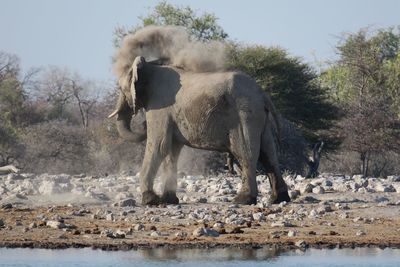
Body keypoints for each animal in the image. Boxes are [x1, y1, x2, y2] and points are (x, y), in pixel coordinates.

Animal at [109, 56, 290, 205]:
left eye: (121, 88)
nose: (142, 124)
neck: (150, 66)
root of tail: (262, 94)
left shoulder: (160, 106)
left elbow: (159, 146)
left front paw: (150, 200)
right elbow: (172, 151)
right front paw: (168, 200)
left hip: (244, 113)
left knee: (246, 153)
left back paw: (243, 200)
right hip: (259, 118)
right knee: (269, 154)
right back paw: (278, 199)